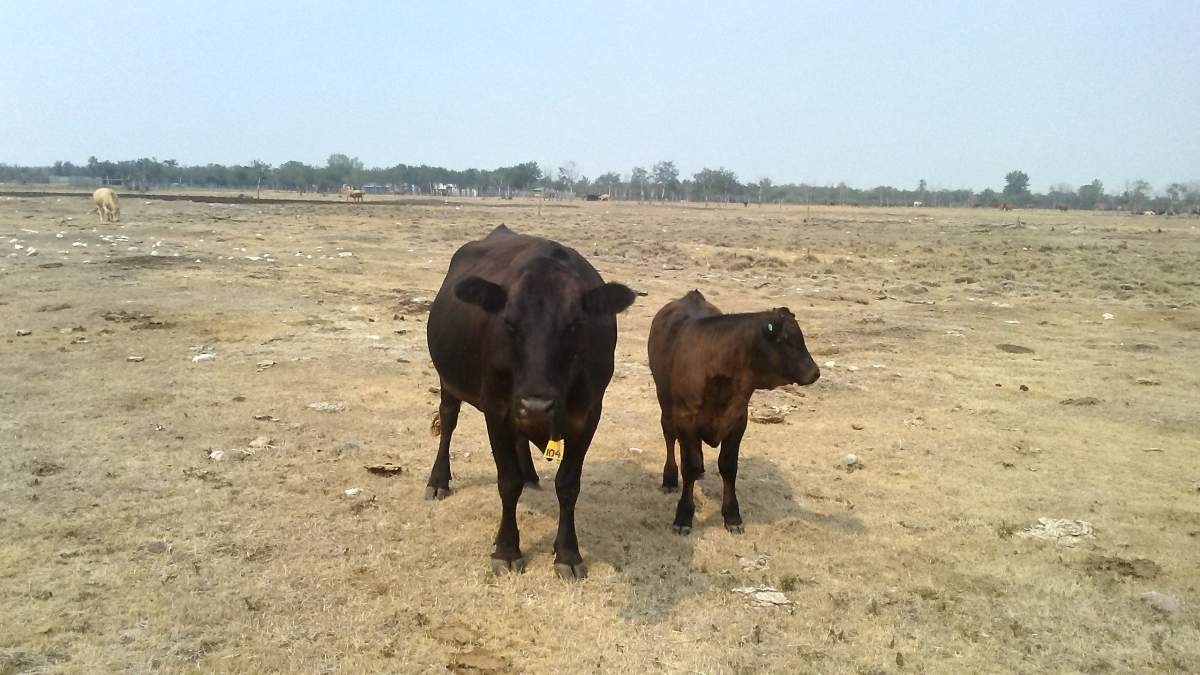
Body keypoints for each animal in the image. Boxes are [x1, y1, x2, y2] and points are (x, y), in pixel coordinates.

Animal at [425, 224, 636, 579]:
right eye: (509, 323)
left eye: (573, 325)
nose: (537, 405)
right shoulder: (497, 410)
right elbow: (507, 482)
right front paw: (507, 549)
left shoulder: (589, 414)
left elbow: (568, 485)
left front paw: (567, 553)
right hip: (449, 381)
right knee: (448, 421)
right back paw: (438, 480)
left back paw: (530, 473)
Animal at [648, 290, 820, 535]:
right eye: (785, 339)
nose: (815, 372)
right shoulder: (686, 418)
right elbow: (689, 466)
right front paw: (683, 515)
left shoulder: (738, 420)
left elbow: (728, 467)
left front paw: (732, 515)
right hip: (665, 401)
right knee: (670, 437)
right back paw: (670, 478)